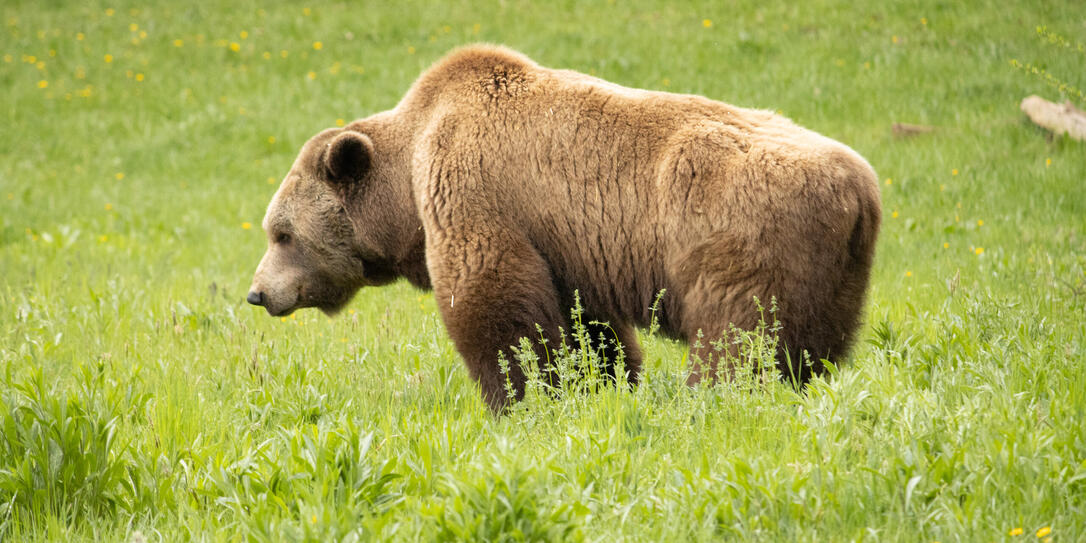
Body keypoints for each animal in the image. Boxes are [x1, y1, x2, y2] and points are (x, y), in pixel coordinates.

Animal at [242, 44, 877, 412]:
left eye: (281, 234)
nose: (257, 292)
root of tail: (859, 189)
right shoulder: (568, 244)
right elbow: (587, 325)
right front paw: (600, 384)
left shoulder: (475, 189)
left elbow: (494, 302)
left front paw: (518, 398)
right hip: (833, 277)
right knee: (810, 348)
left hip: (741, 238)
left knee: (739, 337)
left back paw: (715, 399)